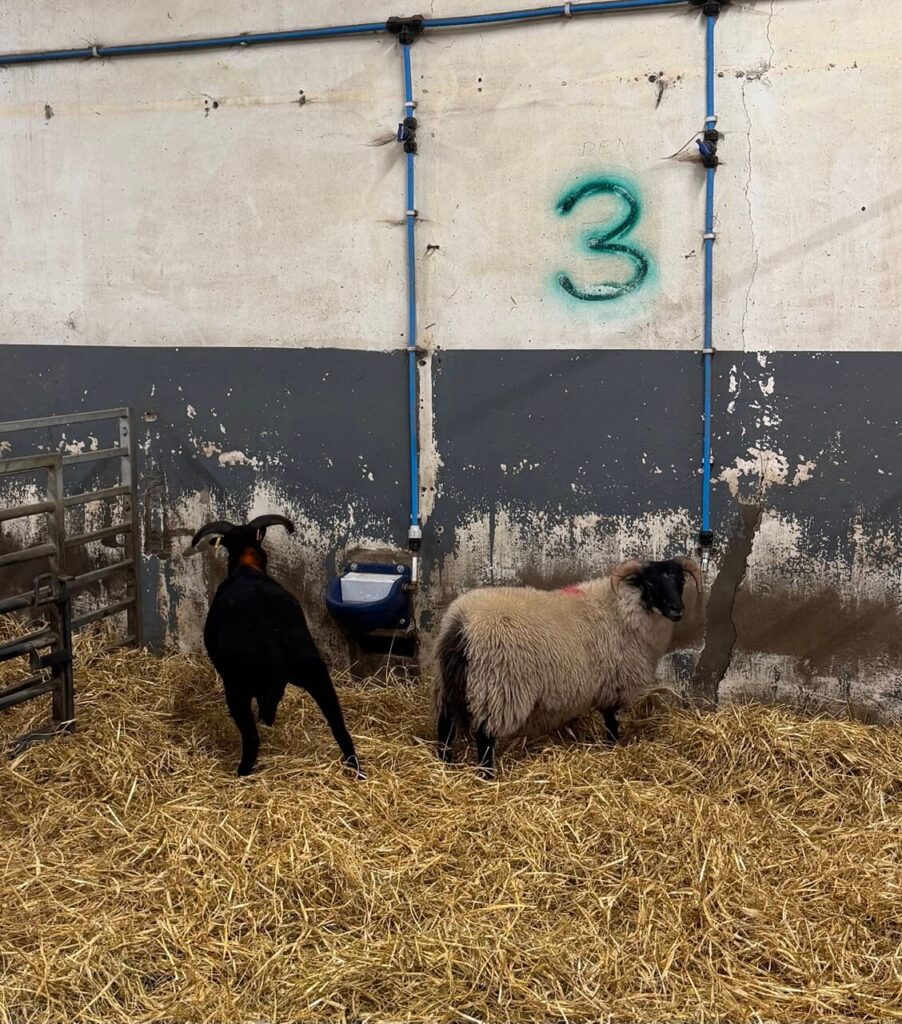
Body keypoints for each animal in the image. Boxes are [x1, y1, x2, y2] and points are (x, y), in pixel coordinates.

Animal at [190, 514, 363, 778]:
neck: (247, 566)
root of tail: (273, 641)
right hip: (314, 671)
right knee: (338, 725)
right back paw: (356, 768)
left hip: (237, 685)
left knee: (251, 737)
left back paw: (242, 772)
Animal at [432, 556, 702, 776]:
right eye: (650, 583)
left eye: (681, 581)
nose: (677, 610)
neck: (621, 608)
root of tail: (462, 623)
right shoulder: (614, 684)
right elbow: (611, 722)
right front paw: (613, 747)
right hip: (499, 688)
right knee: (484, 737)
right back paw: (488, 775)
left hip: (450, 685)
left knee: (445, 726)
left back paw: (445, 764)